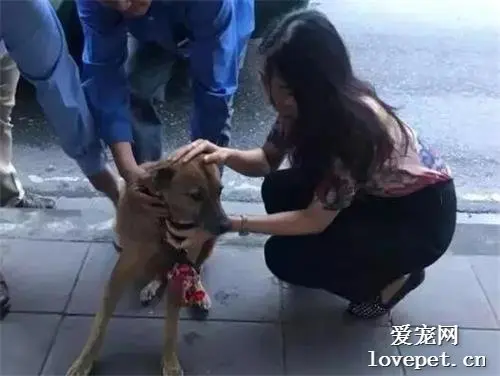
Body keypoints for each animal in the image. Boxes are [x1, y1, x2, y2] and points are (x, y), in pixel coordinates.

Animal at [66, 156, 229, 376]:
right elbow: (99, 324)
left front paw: (170, 362)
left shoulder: (181, 268)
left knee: (196, 270)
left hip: (206, 245)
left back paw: (198, 292)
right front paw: (84, 361)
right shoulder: (120, 272)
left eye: (219, 191)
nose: (227, 225)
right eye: (196, 195)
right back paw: (151, 286)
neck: (163, 221)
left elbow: (171, 328)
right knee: (158, 272)